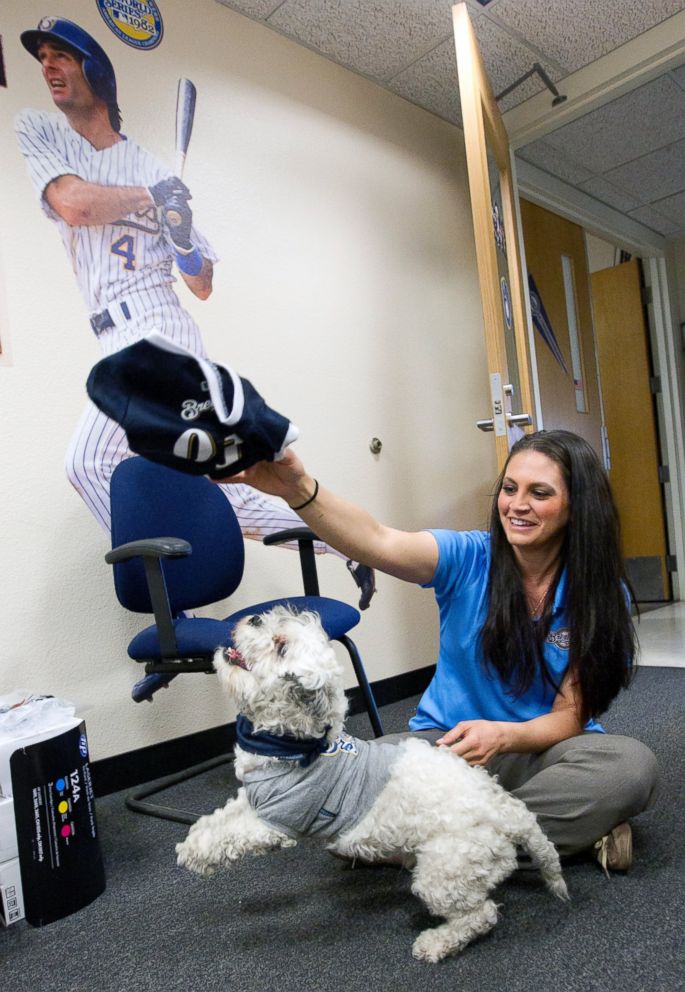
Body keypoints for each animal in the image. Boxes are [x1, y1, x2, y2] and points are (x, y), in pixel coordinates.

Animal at [175, 604, 568, 960]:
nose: (254, 617)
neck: (287, 745)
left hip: (446, 871)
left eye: (281, 647)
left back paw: (435, 943)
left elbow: (232, 836)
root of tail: (511, 812)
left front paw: (197, 855)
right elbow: (219, 820)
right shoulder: (256, 799)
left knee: (480, 915)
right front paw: (193, 840)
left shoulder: (276, 822)